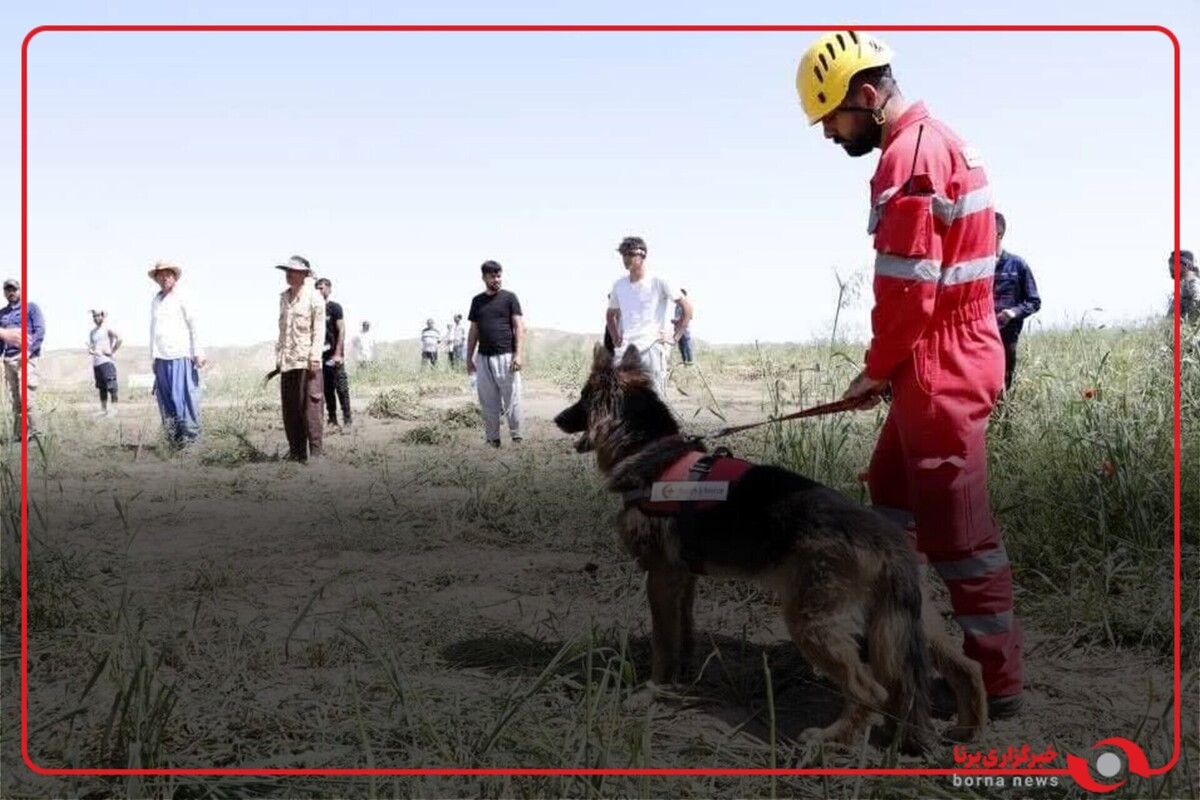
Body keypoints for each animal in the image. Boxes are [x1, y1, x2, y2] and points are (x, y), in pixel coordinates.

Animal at [552, 347, 984, 753]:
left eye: (583, 398)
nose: (557, 419)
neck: (651, 450)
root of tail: (888, 539)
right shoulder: (683, 580)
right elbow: (682, 633)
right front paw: (682, 678)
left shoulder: (660, 577)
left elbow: (663, 642)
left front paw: (653, 691)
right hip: (909, 623)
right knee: (966, 667)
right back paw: (967, 730)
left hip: (813, 623)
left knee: (872, 690)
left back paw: (831, 739)